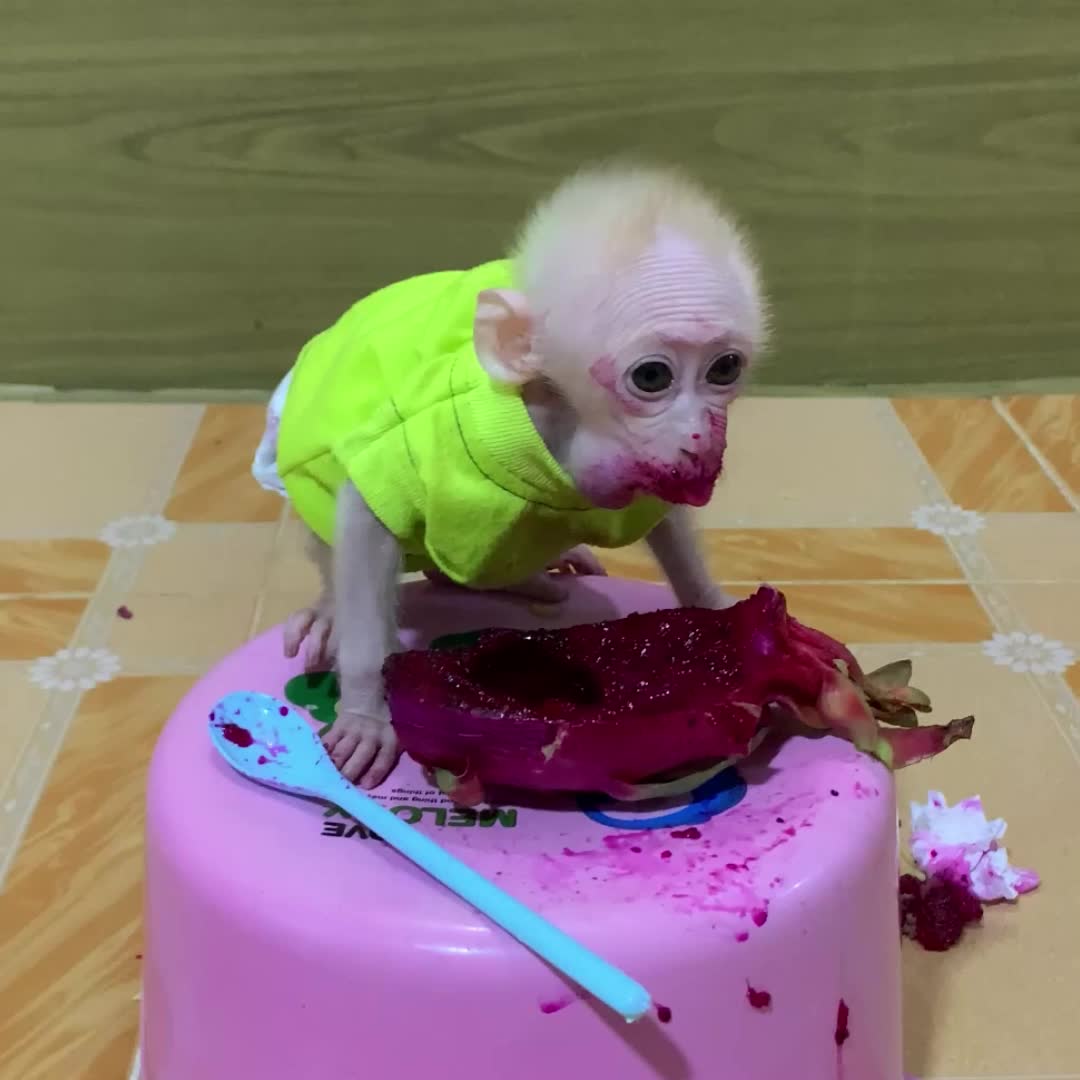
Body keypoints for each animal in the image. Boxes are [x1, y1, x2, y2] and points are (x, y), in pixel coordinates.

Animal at [251, 161, 768, 790]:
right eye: (652, 377)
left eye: (725, 368)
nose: (700, 431)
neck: (564, 429)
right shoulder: (437, 433)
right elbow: (365, 517)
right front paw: (366, 710)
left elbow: (669, 528)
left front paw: (718, 609)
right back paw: (333, 610)